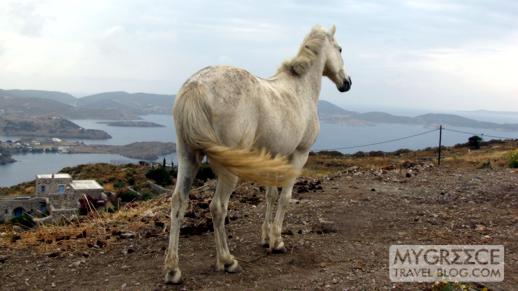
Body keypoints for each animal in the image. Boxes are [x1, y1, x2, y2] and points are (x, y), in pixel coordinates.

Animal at [167, 25, 354, 286]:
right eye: (340, 49)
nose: (347, 82)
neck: (300, 90)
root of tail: (196, 86)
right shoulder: (299, 155)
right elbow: (285, 197)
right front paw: (277, 241)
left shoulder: (273, 157)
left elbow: (270, 196)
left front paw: (265, 237)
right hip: (227, 170)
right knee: (218, 207)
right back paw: (227, 261)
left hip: (187, 157)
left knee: (178, 203)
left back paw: (173, 270)